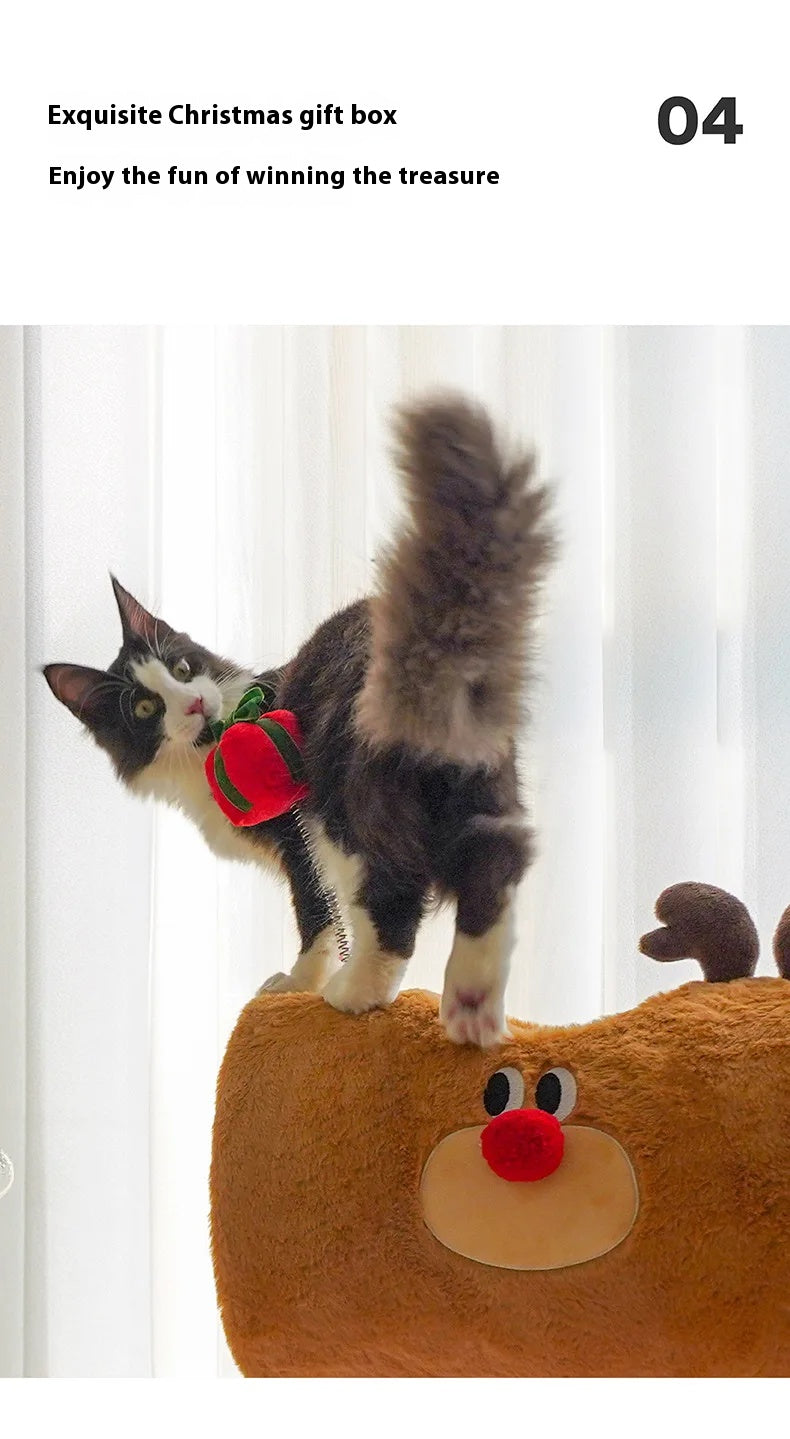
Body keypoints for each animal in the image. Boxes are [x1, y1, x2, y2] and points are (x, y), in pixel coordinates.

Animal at [43, 394, 555, 1047]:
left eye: (182, 667)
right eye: (144, 708)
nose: (194, 704)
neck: (207, 746)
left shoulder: (295, 839)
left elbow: (317, 914)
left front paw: (296, 984)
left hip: (340, 801)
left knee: (392, 893)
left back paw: (358, 992)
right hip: (480, 778)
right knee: (495, 859)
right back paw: (472, 1002)